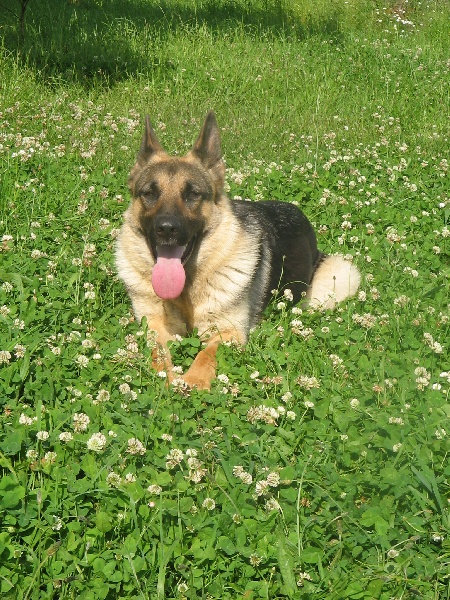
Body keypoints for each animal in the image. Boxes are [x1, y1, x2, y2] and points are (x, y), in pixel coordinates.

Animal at [117, 110, 362, 390]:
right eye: (149, 193)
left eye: (192, 194)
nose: (166, 228)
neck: (186, 291)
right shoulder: (154, 326)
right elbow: (158, 353)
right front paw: (169, 380)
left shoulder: (228, 331)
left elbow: (206, 355)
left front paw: (192, 382)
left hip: (339, 277)